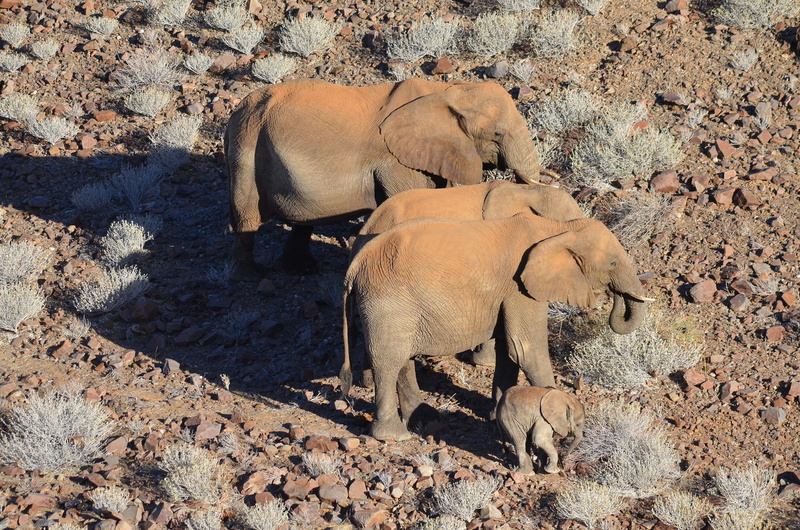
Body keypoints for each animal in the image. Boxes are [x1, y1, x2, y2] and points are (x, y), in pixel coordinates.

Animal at [225, 78, 549, 280]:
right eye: (497, 134)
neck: (447, 90)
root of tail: (238, 108)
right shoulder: (394, 160)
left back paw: (302, 270)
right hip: (245, 145)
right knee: (246, 218)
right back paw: (250, 278)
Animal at [339, 213, 652, 441]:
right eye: (612, 263)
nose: (615, 299)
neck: (558, 227)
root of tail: (353, 267)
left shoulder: (510, 290)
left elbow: (508, 349)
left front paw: (497, 416)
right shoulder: (520, 287)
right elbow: (525, 349)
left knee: (402, 359)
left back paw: (424, 419)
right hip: (388, 302)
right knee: (389, 361)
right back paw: (394, 437)